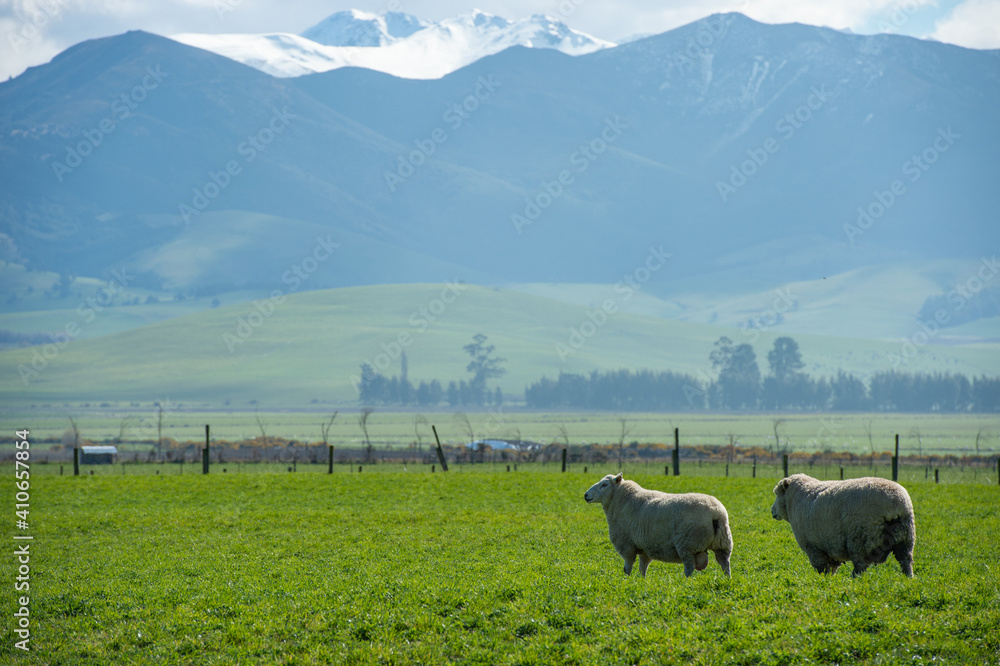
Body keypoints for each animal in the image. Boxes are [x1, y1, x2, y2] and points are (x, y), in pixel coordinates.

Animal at [584, 473, 732, 577]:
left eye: (604, 485)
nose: (586, 495)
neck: (621, 500)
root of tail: (715, 512)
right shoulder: (645, 547)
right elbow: (642, 568)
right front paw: (641, 581)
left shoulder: (627, 546)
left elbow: (627, 568)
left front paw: (627, 581)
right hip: (723, 543)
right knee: (725, 563)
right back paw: (727, 580)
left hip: (688, 545)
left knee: (689, 568)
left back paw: (685, 582)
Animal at [770, 473, 915, 577]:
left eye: (777, 494)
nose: (772, 511)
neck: (795, 499)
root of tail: (895, 505)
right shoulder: (830, 547)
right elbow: (832, 568)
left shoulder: (813, 547)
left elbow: (821, 569)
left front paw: (821, 582)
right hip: (906, 538)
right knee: (905, 560)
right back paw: (908, 578)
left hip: (860, 540)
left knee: (860, 565)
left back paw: (853, 580)